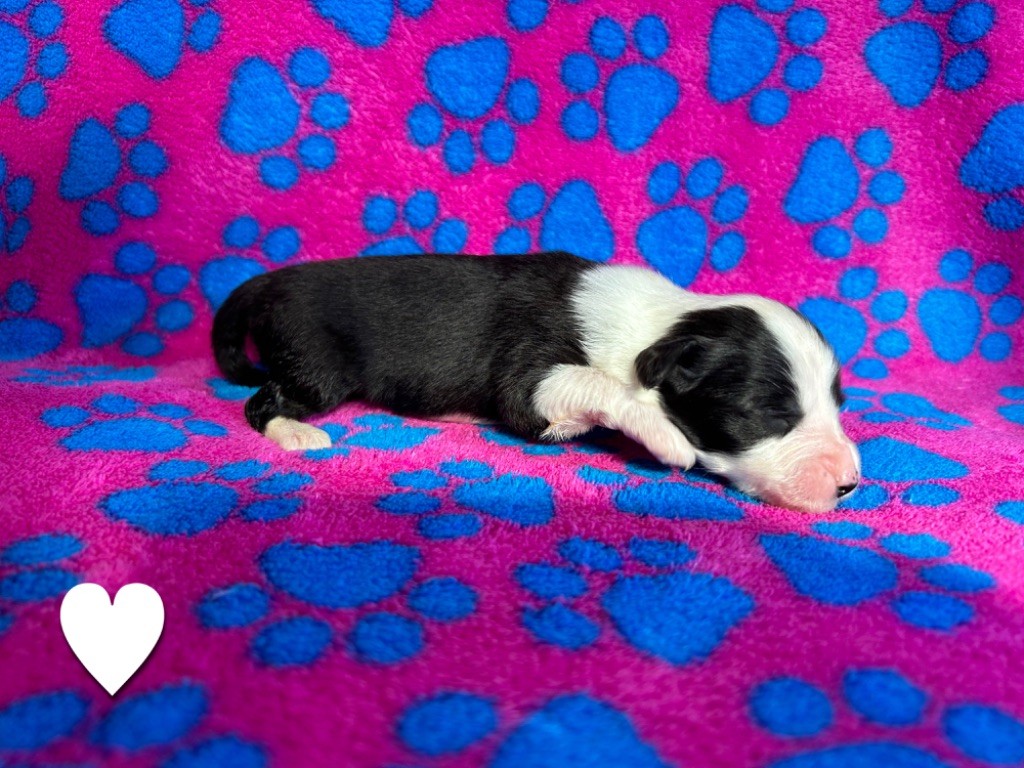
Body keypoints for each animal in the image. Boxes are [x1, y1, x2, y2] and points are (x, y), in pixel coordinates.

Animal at [212, 251, 860, 512]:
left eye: (837, 403)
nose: (852, 484)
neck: (667, 322)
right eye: (770, 415)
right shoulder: (529, 375)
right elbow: (591, 385)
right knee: (260, 402)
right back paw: (295, 433)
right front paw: (665, 435)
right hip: (316, 365)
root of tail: (273, 280)